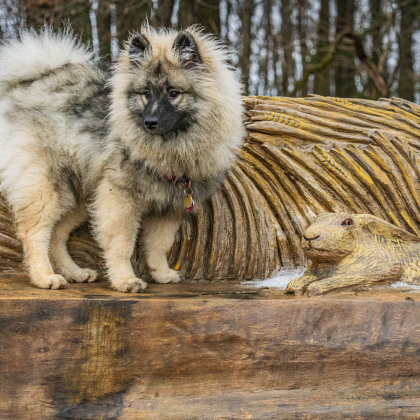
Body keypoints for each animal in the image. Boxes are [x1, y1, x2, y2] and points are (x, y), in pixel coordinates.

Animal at [0, 25, 244, 288]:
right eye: (145, 93)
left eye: (173, 93)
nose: (150, 122)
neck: (172, 146)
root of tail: (31, 82)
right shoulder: (120, 198)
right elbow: (122, 244)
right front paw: (125, 279)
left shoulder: (169, 208)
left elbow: (158, 246)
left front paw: (161, 273)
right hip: (47, 187)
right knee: (34, 233)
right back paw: (44, 276)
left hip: (78, 195)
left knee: (57, 235)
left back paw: (75, 272)